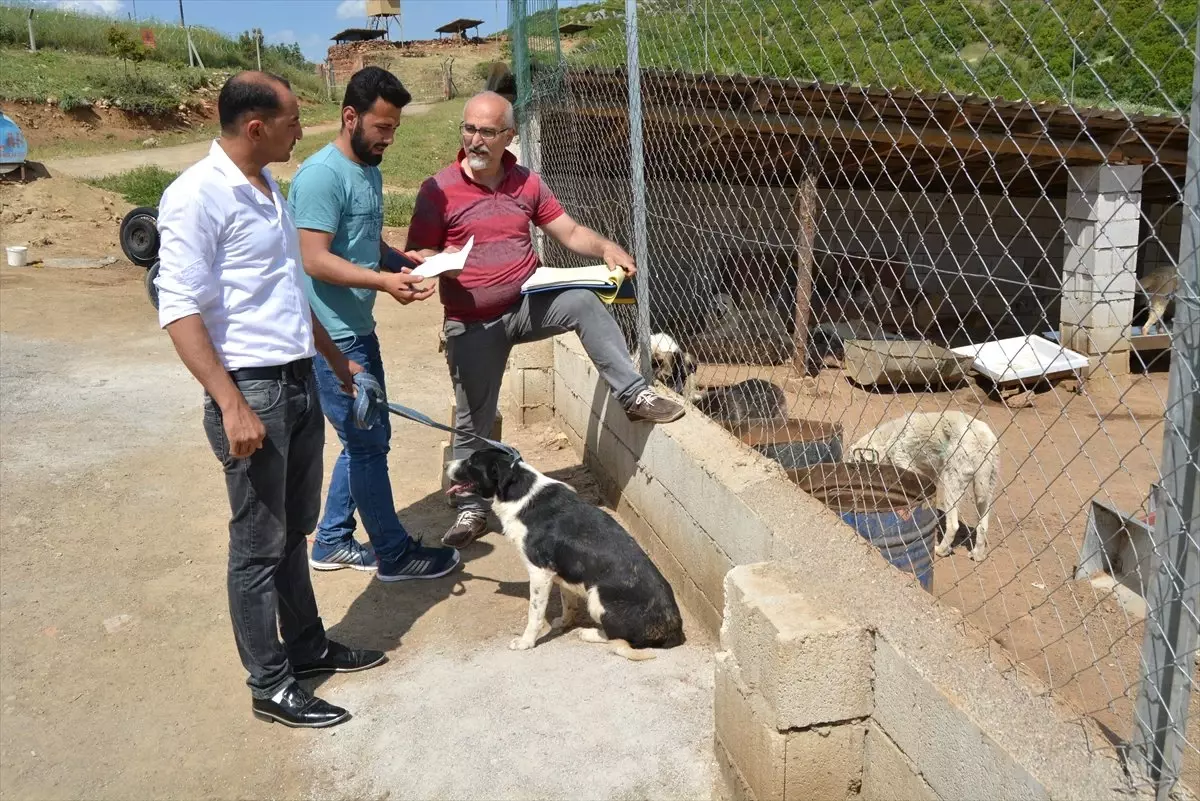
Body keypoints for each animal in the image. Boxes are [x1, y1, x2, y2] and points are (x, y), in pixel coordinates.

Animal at [446, 448, 686, 661]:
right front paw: (564, 623)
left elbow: (534, 614)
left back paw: (589, 633)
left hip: (597, 596)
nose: (447, 464)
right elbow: (567, 602)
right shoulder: (561, 573)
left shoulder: (540, 573)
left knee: (620, 639)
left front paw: (526, 642)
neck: (521, 492)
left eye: (471, 462)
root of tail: (673, 631)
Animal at [844, 410, 1003, 561]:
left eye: (853, 465)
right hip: (985, 493)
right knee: (982, 527)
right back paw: (977, 555)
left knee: (953, 525)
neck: (889, 438)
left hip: (951, 485)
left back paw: (941, 551)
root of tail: (983, 441)